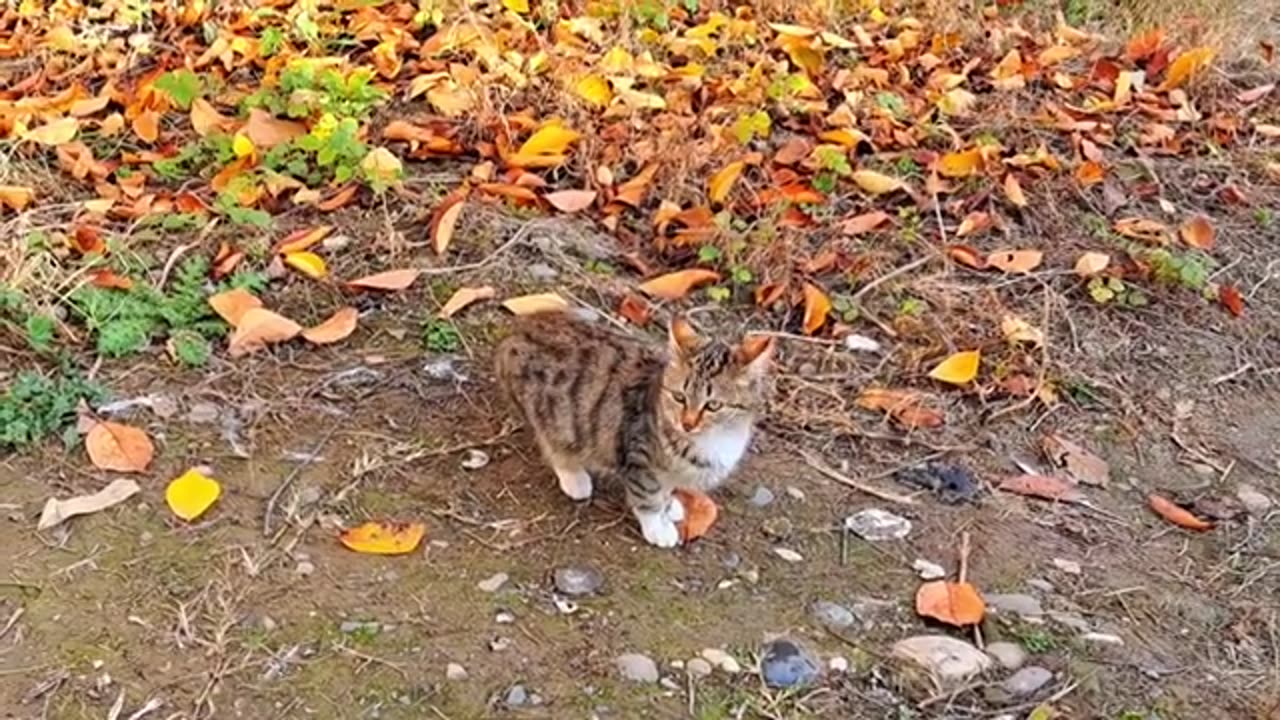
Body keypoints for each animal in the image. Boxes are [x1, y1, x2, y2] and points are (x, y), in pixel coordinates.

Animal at [488, 311, 768, 545]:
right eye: (679, 397)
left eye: (713, 405)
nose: (687, 424)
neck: (715, 439)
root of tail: (518, 328)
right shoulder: (638, 455)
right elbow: (648, 495)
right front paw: (658, 527)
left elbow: (666, 490)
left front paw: (670, 506)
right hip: (552, 417)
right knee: (554, 444)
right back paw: (575, 478)